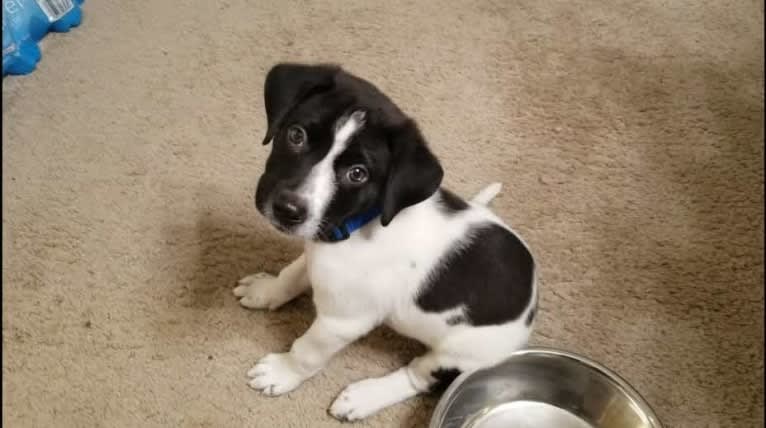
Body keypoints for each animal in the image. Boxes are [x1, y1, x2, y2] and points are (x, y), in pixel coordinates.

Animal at [234, 63, 540, 422]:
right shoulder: (316, 247)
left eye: (357, 173)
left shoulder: (341, 322)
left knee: (418, 376)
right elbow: (291, 275)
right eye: (296, 135)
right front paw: (266, 290)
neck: (356, 225)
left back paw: (364, 397)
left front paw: (282, 372)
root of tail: (532, 297)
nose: (288, 209)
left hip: (457, 355)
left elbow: (307, 350)